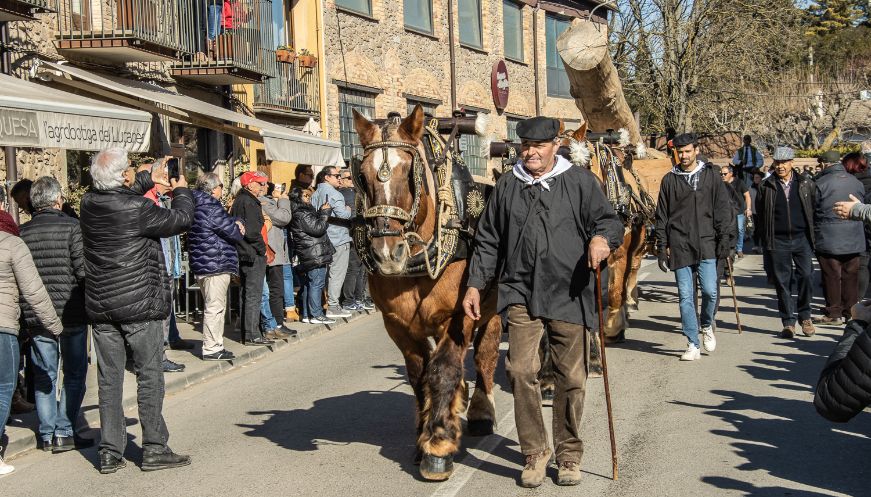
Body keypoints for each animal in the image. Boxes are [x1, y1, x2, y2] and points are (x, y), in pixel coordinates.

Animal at [352, 105, 500, 480]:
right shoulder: (398, 324)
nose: (387, 254)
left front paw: (438, 446)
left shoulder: (461, 314)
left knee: (486, 356)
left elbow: (444, 369)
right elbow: (420, 374)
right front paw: (424, 435)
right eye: (362, 174)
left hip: (491, 310)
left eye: (410, 172)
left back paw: (481, 411)